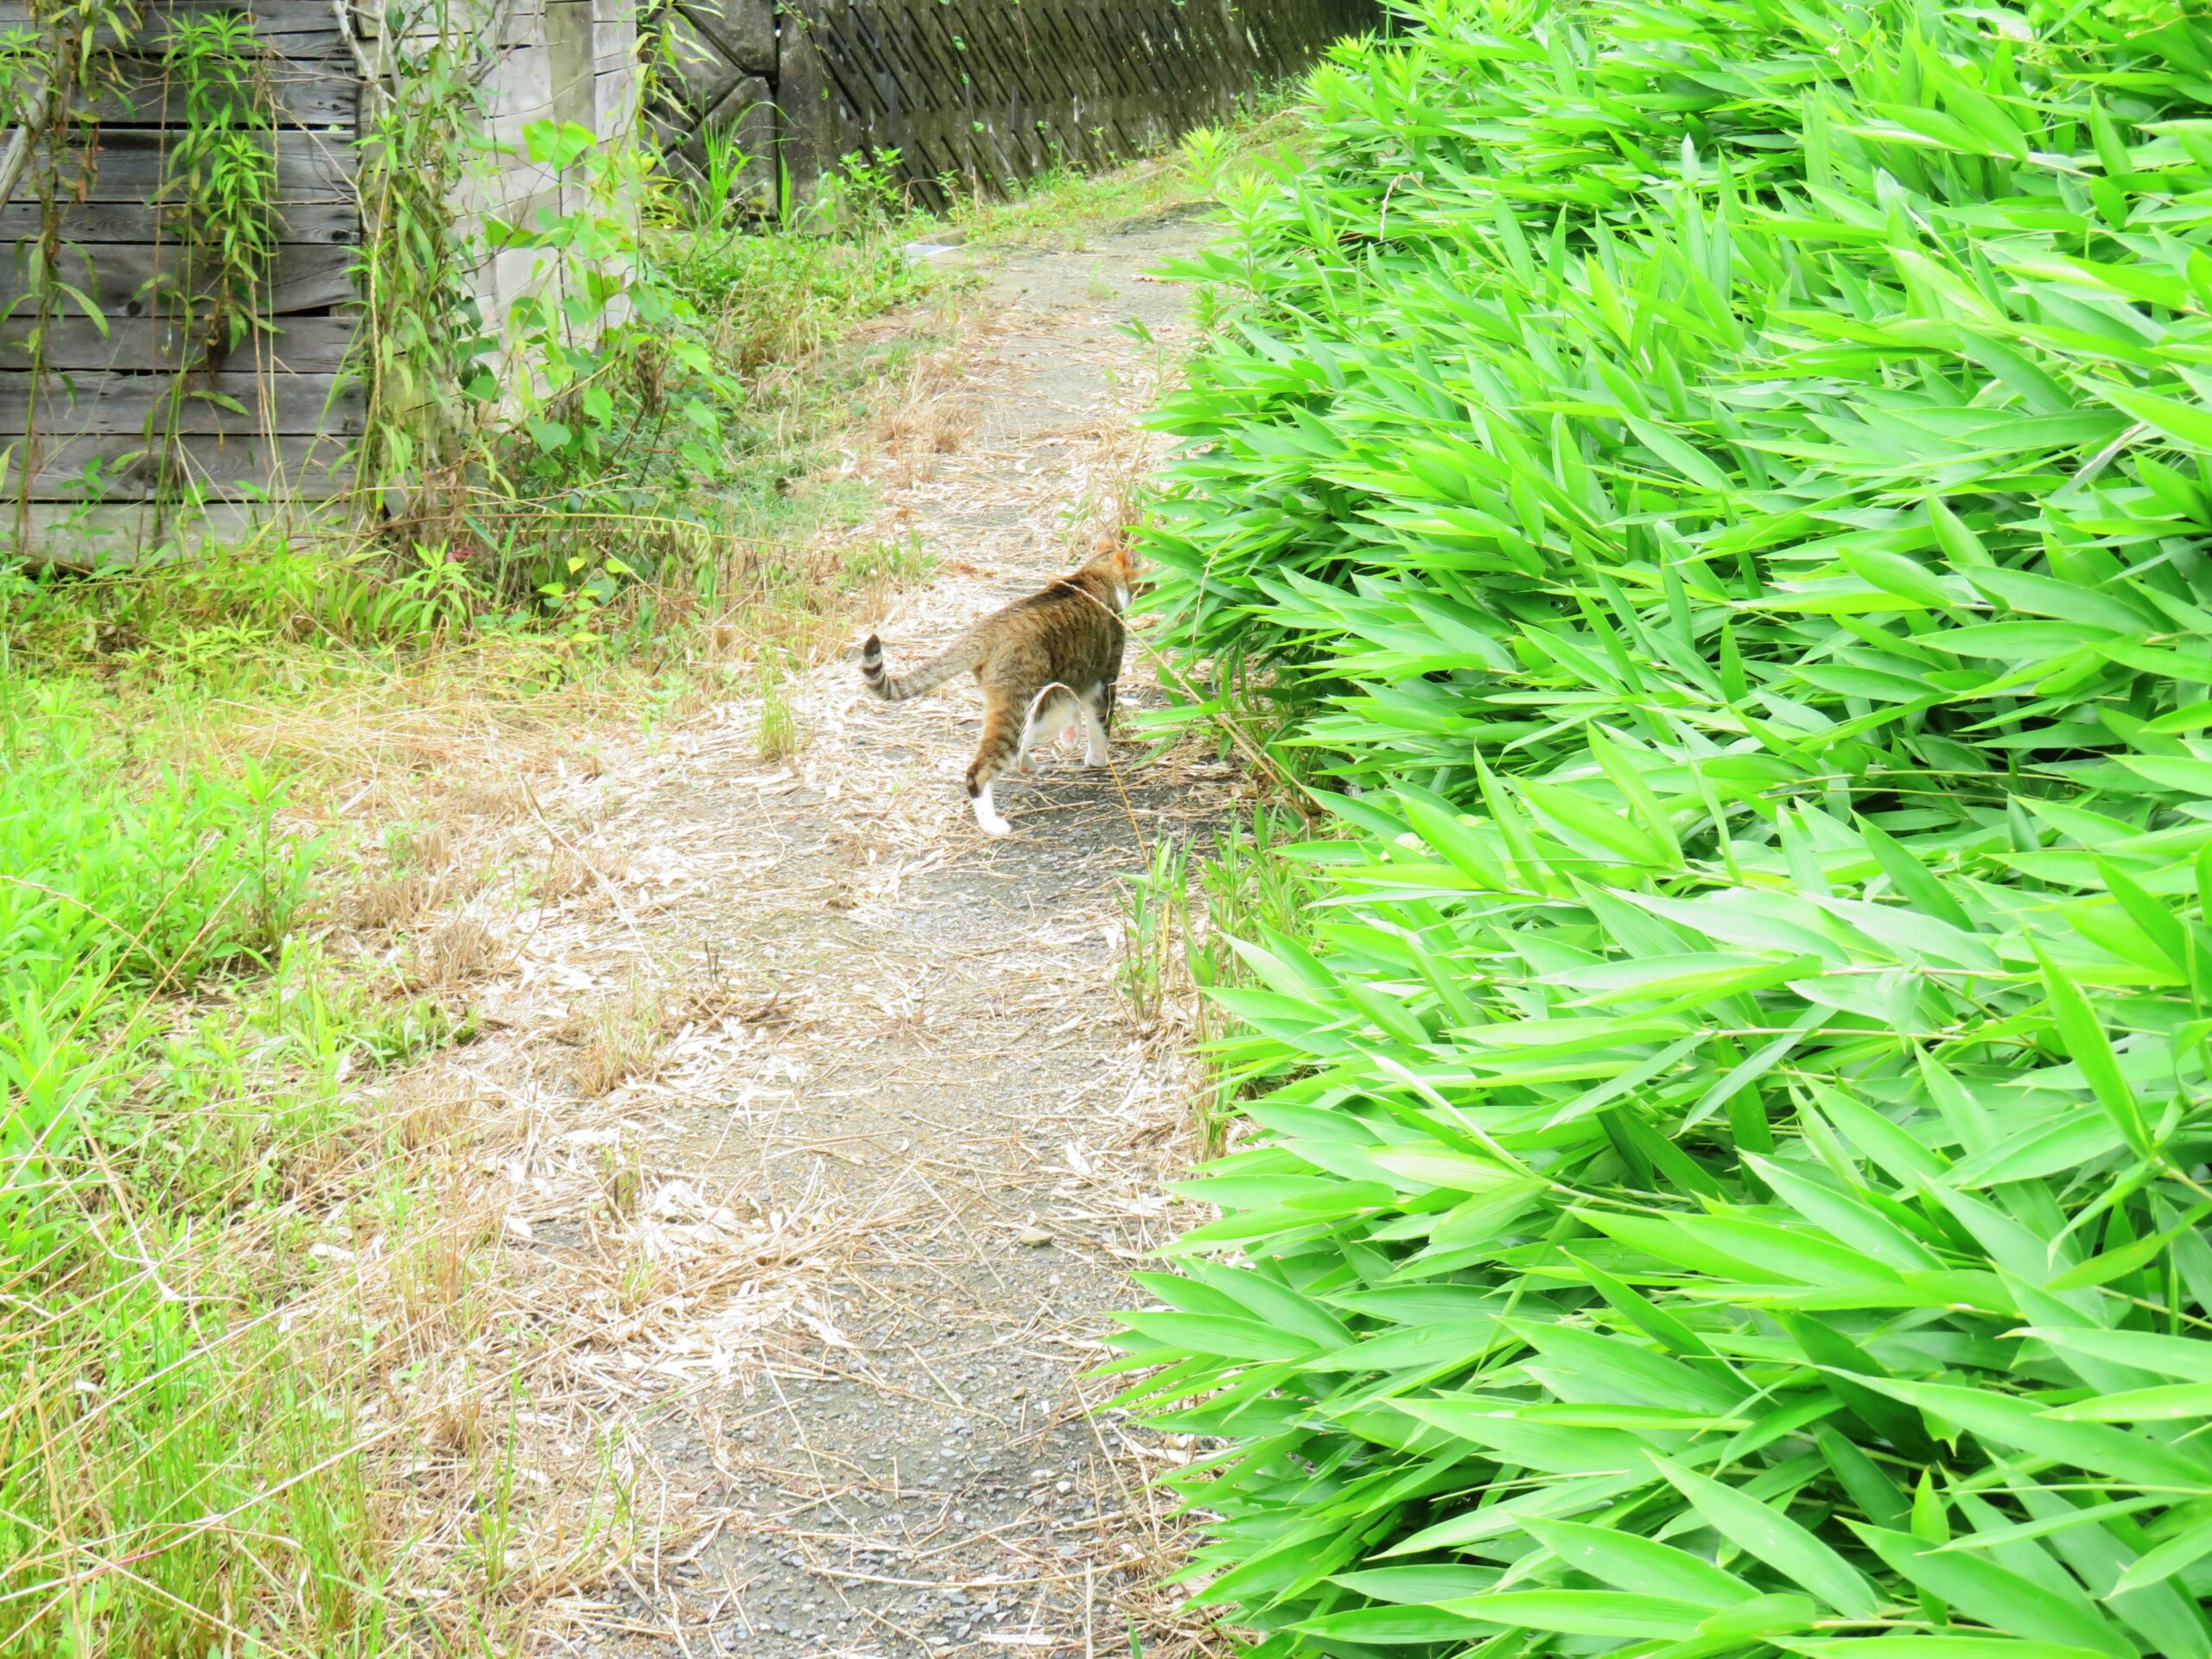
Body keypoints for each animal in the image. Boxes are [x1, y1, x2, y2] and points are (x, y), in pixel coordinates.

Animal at [854, 539, 1141, 836]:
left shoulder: (1071, 681)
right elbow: (1099, 726)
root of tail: (988, 629)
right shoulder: (1103, 678)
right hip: (1019, 705)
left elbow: (1069, 712)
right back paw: (992, 823)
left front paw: (1068, 738)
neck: (1092, 576)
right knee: (979, 770)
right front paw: (1096, 759)